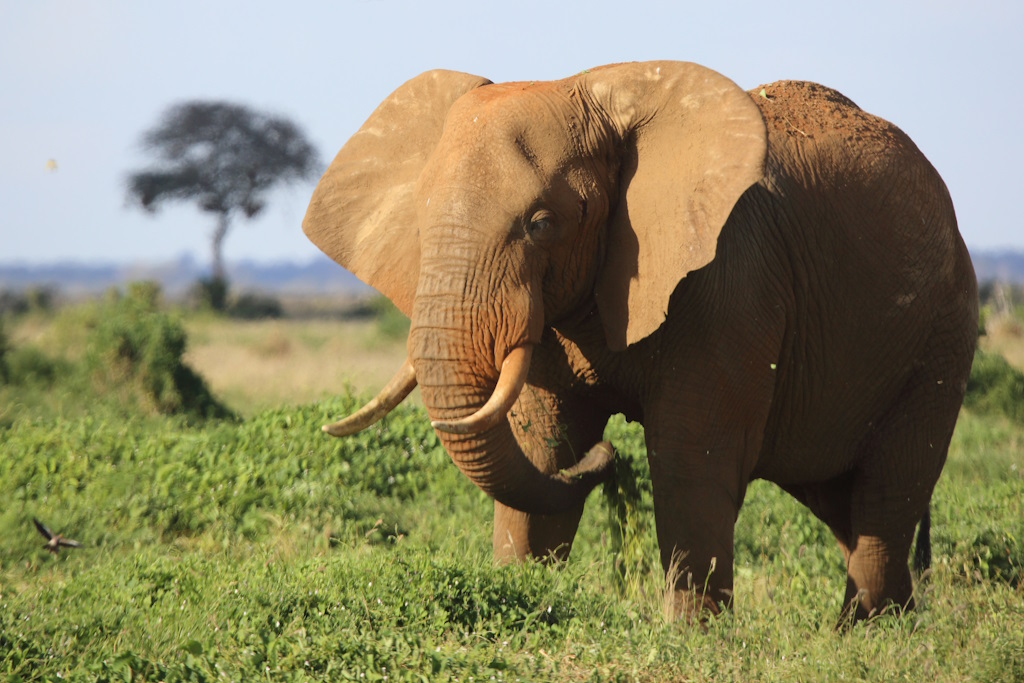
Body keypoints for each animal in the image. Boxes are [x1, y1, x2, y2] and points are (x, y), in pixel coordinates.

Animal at [302, 61, 977, 624]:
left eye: (541, 224)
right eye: (419, 223)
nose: (608, 458)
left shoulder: (731, 277)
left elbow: (691, 461)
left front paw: (692, 640)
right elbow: (543, 445)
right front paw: (522, 599)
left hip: (944, 330)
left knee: (887, 492)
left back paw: (868, 636)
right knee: (844, 501)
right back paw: (893, 626)